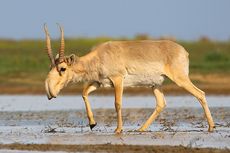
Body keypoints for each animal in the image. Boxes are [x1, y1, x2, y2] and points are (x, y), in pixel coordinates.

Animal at [44, 24, 215, 133]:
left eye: (62, 68)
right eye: (50, 66)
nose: (49, 91)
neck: (100, 56)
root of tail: (183, 51)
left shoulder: (118, 80)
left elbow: (117, 103)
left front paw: (118, 129)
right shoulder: (99, 83)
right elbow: (84, 93)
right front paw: (92, 124)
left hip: (180, 79)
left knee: (200, 94)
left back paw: (211, 127)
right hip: (155, 85)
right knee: (161, 103)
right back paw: (141, 129)